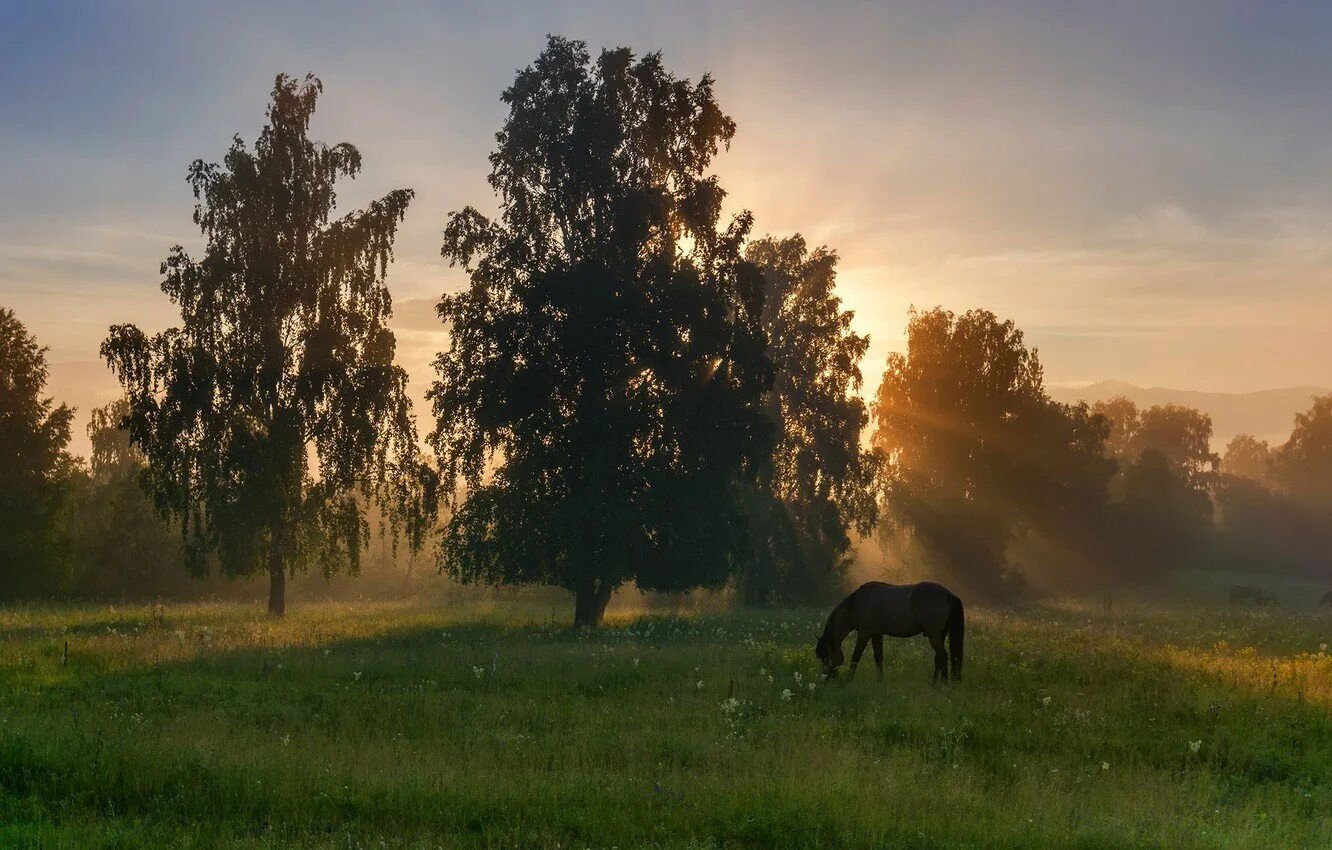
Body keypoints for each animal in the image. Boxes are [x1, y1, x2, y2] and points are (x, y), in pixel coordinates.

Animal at [815, 580, 964, 687]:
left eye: (826, 657)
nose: (826, 678)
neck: (858, 603)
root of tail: (948, 594)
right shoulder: (876, 635)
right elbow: (878, 657)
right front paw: (880, 680)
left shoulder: (864, 634)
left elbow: (855, 657)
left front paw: (849, 679)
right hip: (940, 635)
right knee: (938, 658)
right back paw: (933, 683)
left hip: (934, 635)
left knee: (943, 656)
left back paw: (943, 683)